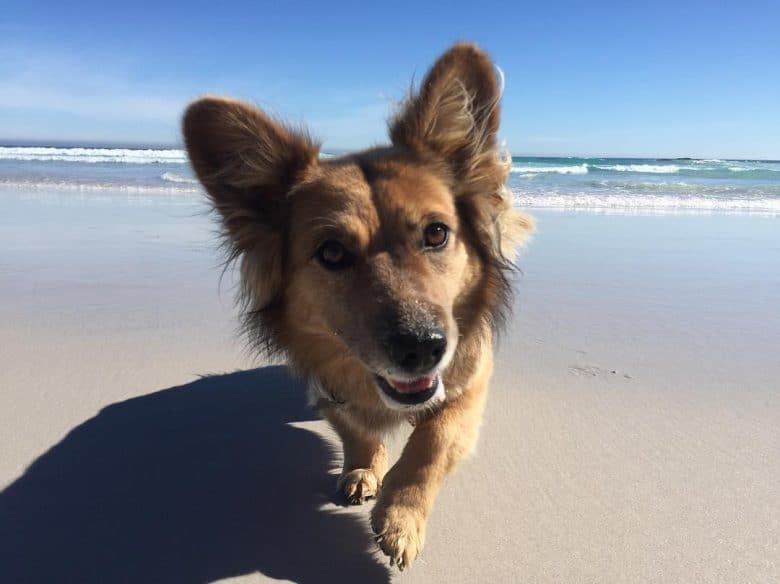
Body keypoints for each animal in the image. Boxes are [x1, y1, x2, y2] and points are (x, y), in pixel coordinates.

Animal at [184, 42, 536, 572]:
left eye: (436, 233)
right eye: (331, 253)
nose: (422, 349)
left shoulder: (469, 381)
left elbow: (433, 444)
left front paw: (401, 517)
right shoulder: (328, 387)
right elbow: (355, 431)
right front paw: (365, 470)